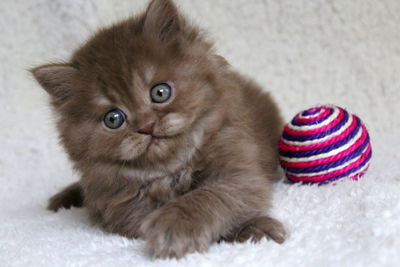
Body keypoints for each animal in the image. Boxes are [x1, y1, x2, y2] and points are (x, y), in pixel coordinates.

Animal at [32, 0, 286, 260]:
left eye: (160, 92)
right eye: (113, 118)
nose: (146, 126)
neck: (171, 169)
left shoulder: (240, 173)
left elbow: (210, 196)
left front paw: (255, 229)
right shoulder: (122, 209)